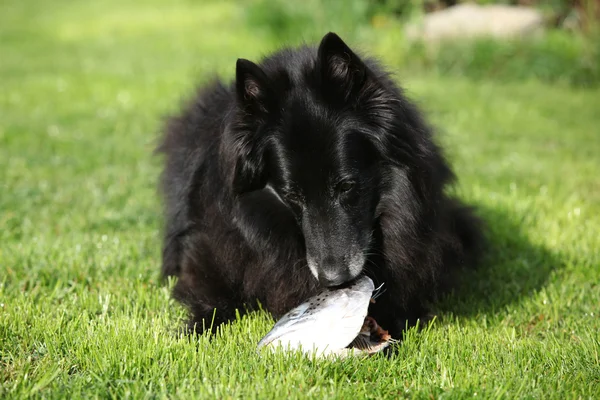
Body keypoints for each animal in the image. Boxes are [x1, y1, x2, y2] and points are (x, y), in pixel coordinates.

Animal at [158, 32, 482, 338]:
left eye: (347, 186)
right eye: (292, 196)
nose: (334, 281)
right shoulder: (208, 254)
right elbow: (212, 300)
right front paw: (192, 332)